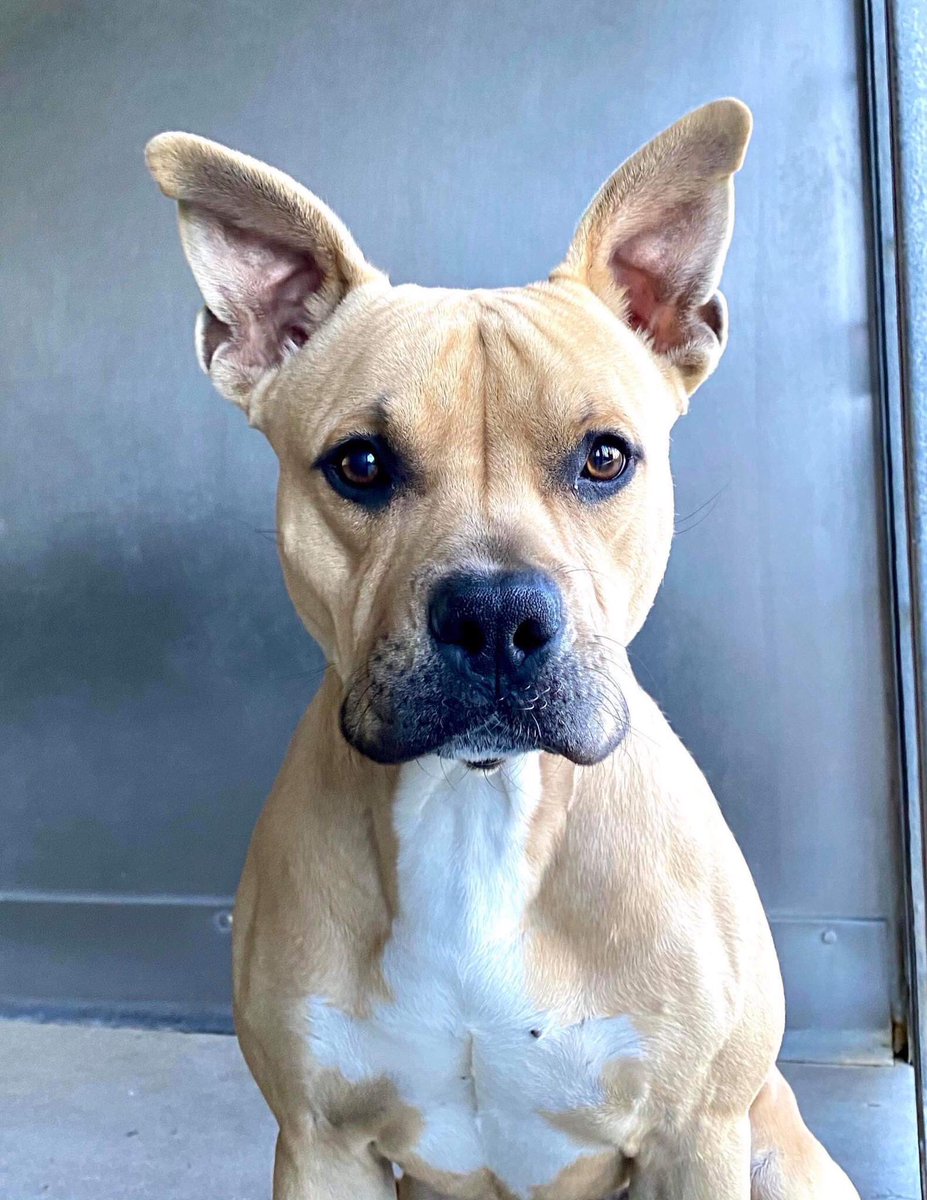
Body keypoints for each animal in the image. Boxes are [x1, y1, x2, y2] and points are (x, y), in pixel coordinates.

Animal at [147, 100, 860, 1200]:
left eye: (605, 456)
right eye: (359, 463)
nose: (494, 615)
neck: (474, 807)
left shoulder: (696, 1133)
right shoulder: (319, 1141)